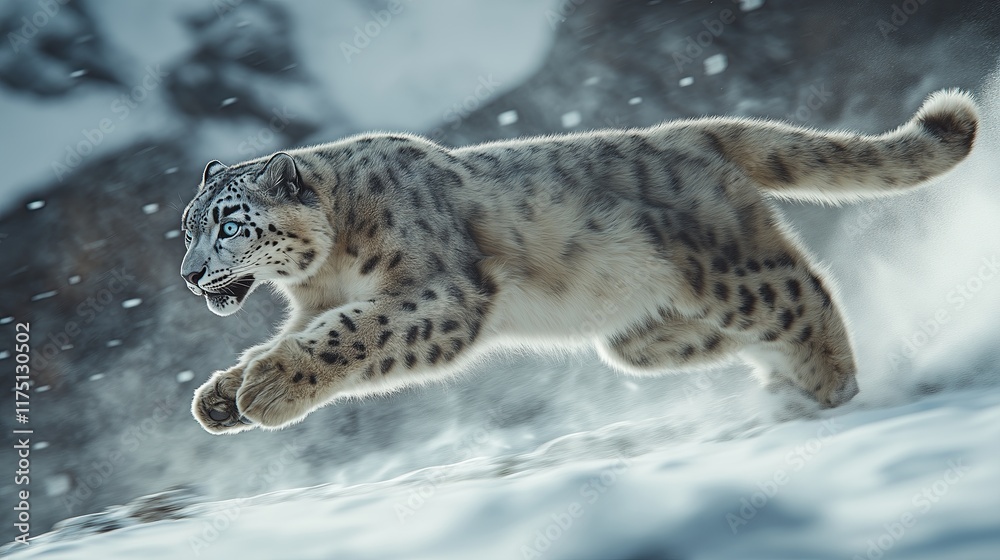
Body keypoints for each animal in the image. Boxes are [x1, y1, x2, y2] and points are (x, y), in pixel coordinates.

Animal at [180, 89, 978, 434]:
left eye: (229, 222)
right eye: (186, 226)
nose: (189, 274)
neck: (323, 273)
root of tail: (692, 133)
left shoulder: (440, 293)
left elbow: (351, 335)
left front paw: (265, 390)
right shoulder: (315, 304)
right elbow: (300, 334)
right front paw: (221, 394)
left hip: (734, 272)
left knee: (803, 290)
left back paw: (837, 386)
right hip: (639, 336)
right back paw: (786, 392)